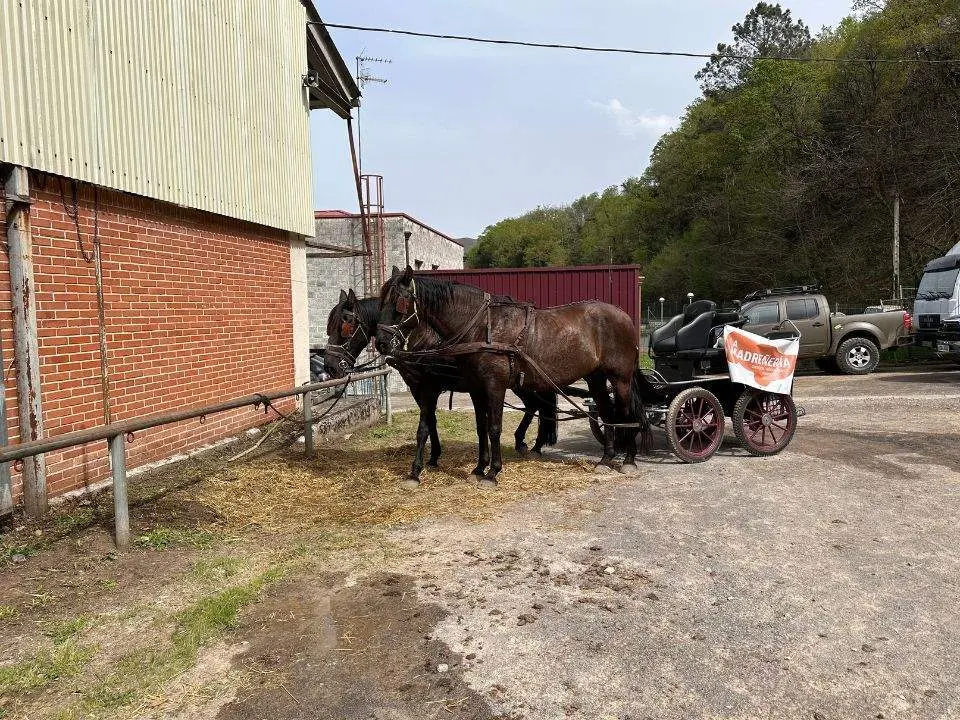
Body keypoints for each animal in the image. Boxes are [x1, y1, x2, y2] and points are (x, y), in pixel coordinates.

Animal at [323, 289, 559, 486]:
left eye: (345, 325)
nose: (330, 366)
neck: (421, 339)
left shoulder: (429, 387)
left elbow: (425, 426)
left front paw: (418, 469)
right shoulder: (419, 388)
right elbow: (433, 422)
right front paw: (435, 456)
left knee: (536, 405)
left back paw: (528, 443)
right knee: (536, 406)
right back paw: (532, 444)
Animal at [375, 267, 658, 486]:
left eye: (399, 302)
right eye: (380, 301)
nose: (380, 342)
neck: (482, 326)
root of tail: (625, 317)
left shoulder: (493, 385)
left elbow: (493, 427)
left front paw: (492, 473)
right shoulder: (476, 387)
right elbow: (481, 428)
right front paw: (478, 469)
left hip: (620, 378)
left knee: (625, 413)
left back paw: (628, 459)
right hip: (595, 378)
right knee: (606, 412)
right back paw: (606, 458)